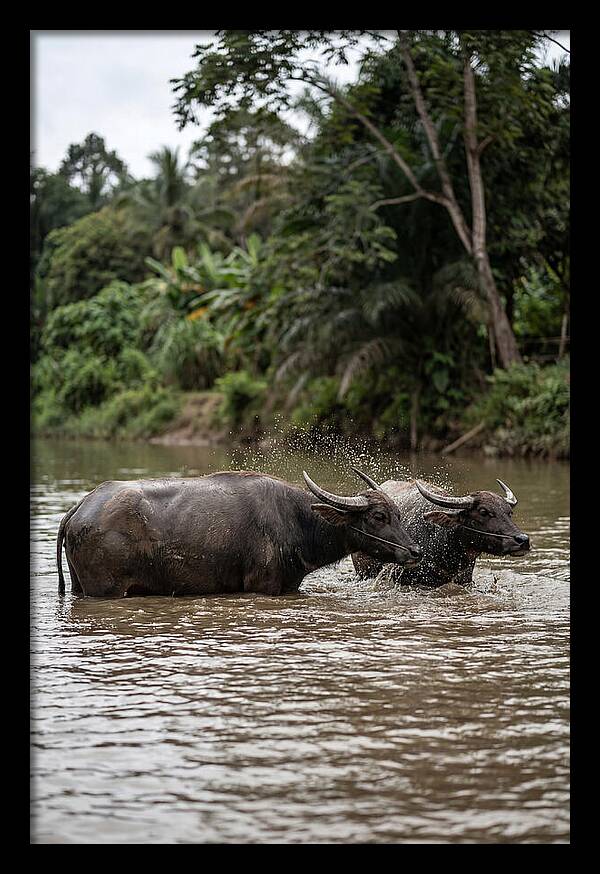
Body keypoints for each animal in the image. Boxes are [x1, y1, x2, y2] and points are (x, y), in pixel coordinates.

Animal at [57, 468, 423, 598]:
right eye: (379, 516)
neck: (296, 521)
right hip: (107, 590)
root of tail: (79, 508)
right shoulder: (264, 585)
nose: (415, 551)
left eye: (398, 514)